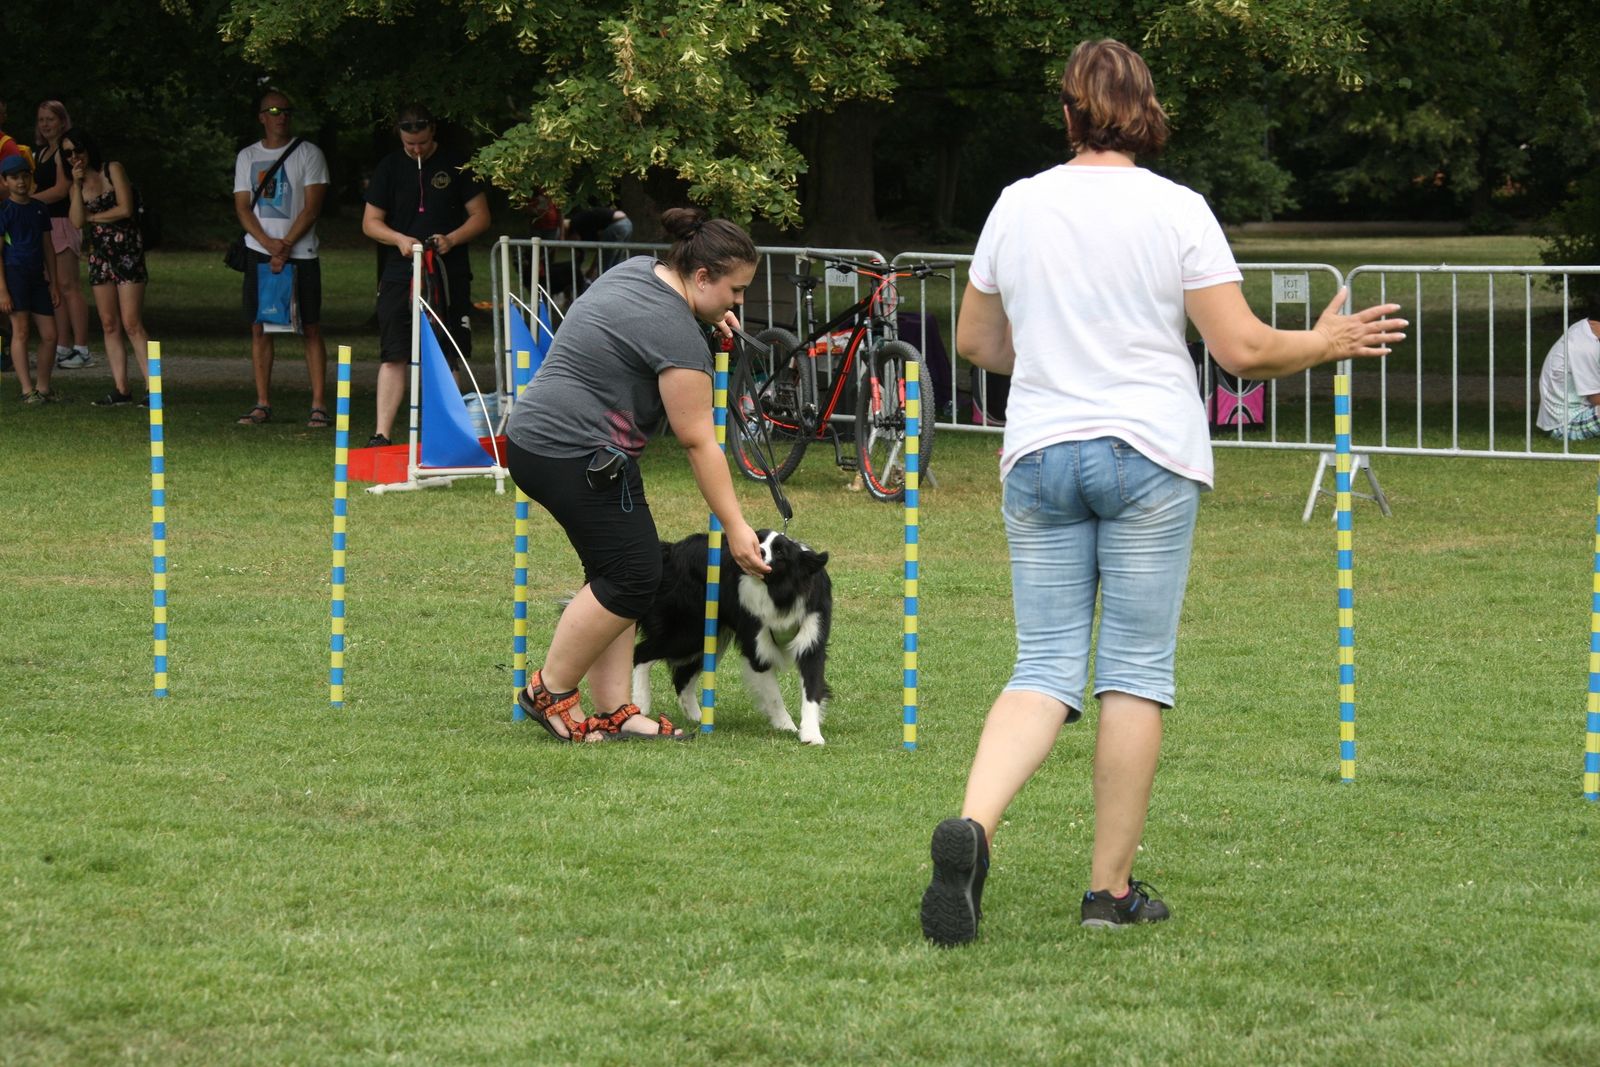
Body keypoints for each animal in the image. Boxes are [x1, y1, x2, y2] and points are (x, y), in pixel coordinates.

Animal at [633, 529, 833, 745]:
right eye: (758, 540)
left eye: (780, 552)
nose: (759, 551)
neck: (778, 592)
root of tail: (671, 550)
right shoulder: (756, 648)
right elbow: (773, 696)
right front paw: (786, 726)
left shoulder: (812, 639)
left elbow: (812, 690)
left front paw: (811, 734)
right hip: (688, 632)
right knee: (640, 653)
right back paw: (641, 703)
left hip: (709, 638)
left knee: (682, 677)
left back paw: (698, 717)